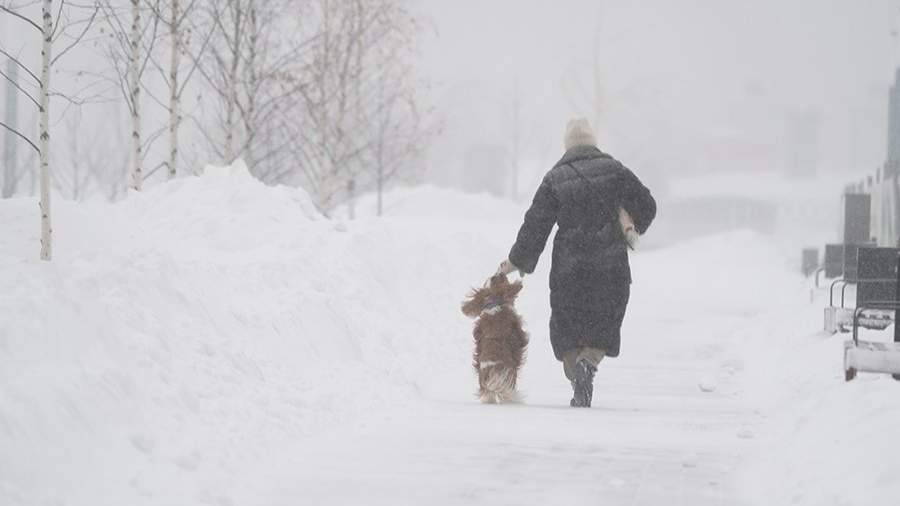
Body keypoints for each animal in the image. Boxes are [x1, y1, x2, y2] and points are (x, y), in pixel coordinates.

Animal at [461, 274, 528, 404]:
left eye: (493, 281)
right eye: (502, 281)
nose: (498, 274)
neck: (495, 306)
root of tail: (491, 372)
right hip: (509, 380)